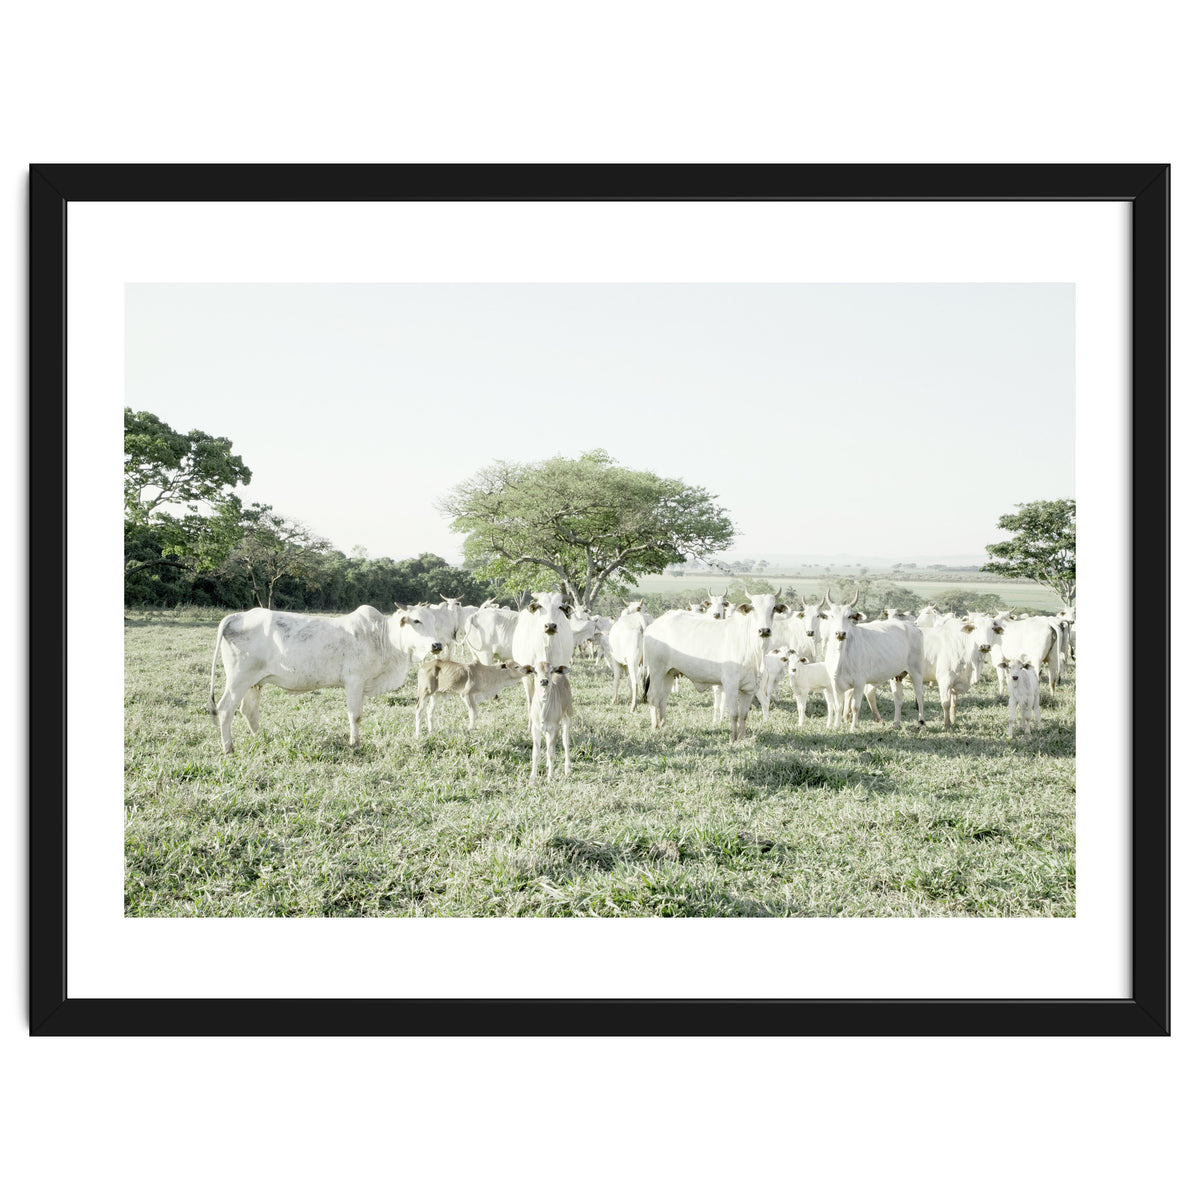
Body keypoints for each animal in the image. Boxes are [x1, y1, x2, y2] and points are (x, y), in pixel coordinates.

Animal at [209, 605, 441, 753]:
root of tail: (237, 616)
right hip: (238, 679)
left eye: (434, 620)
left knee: (249, 711)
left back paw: (261, 738)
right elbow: (355, 715)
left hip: (254, 682)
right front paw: (354, 743)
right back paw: (228, 748)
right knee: (225, 709)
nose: (437, 644)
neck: (382, 637)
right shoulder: (354, 681)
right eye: (416, 620)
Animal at [643, 589, 787, 742]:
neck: (753, 648)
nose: (764, 630)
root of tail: (653, 626)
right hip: (656, 670)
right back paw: (655, 726)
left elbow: (743, 715)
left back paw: (663, 724)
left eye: (773, 608)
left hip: (669, 673)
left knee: (662, 699)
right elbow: (734, 713)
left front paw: (742, 737)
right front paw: (733, 738)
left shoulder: (749, 688)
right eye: (753, 608)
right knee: (653, 696)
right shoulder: (730, 684)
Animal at [823, 591, 926, 731]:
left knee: (920, 695)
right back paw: (896, 723)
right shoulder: (835, 683)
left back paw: (921, 723)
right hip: (896, 675)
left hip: (916, 671)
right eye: (832, 616)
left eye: (849, 616)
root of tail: (912, 626)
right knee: (898, 697)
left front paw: (853, 727)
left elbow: (855, 707)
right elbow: (838, 706)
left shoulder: (859, 682)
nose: (840, 633)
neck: (841, 656)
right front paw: (836, 726)